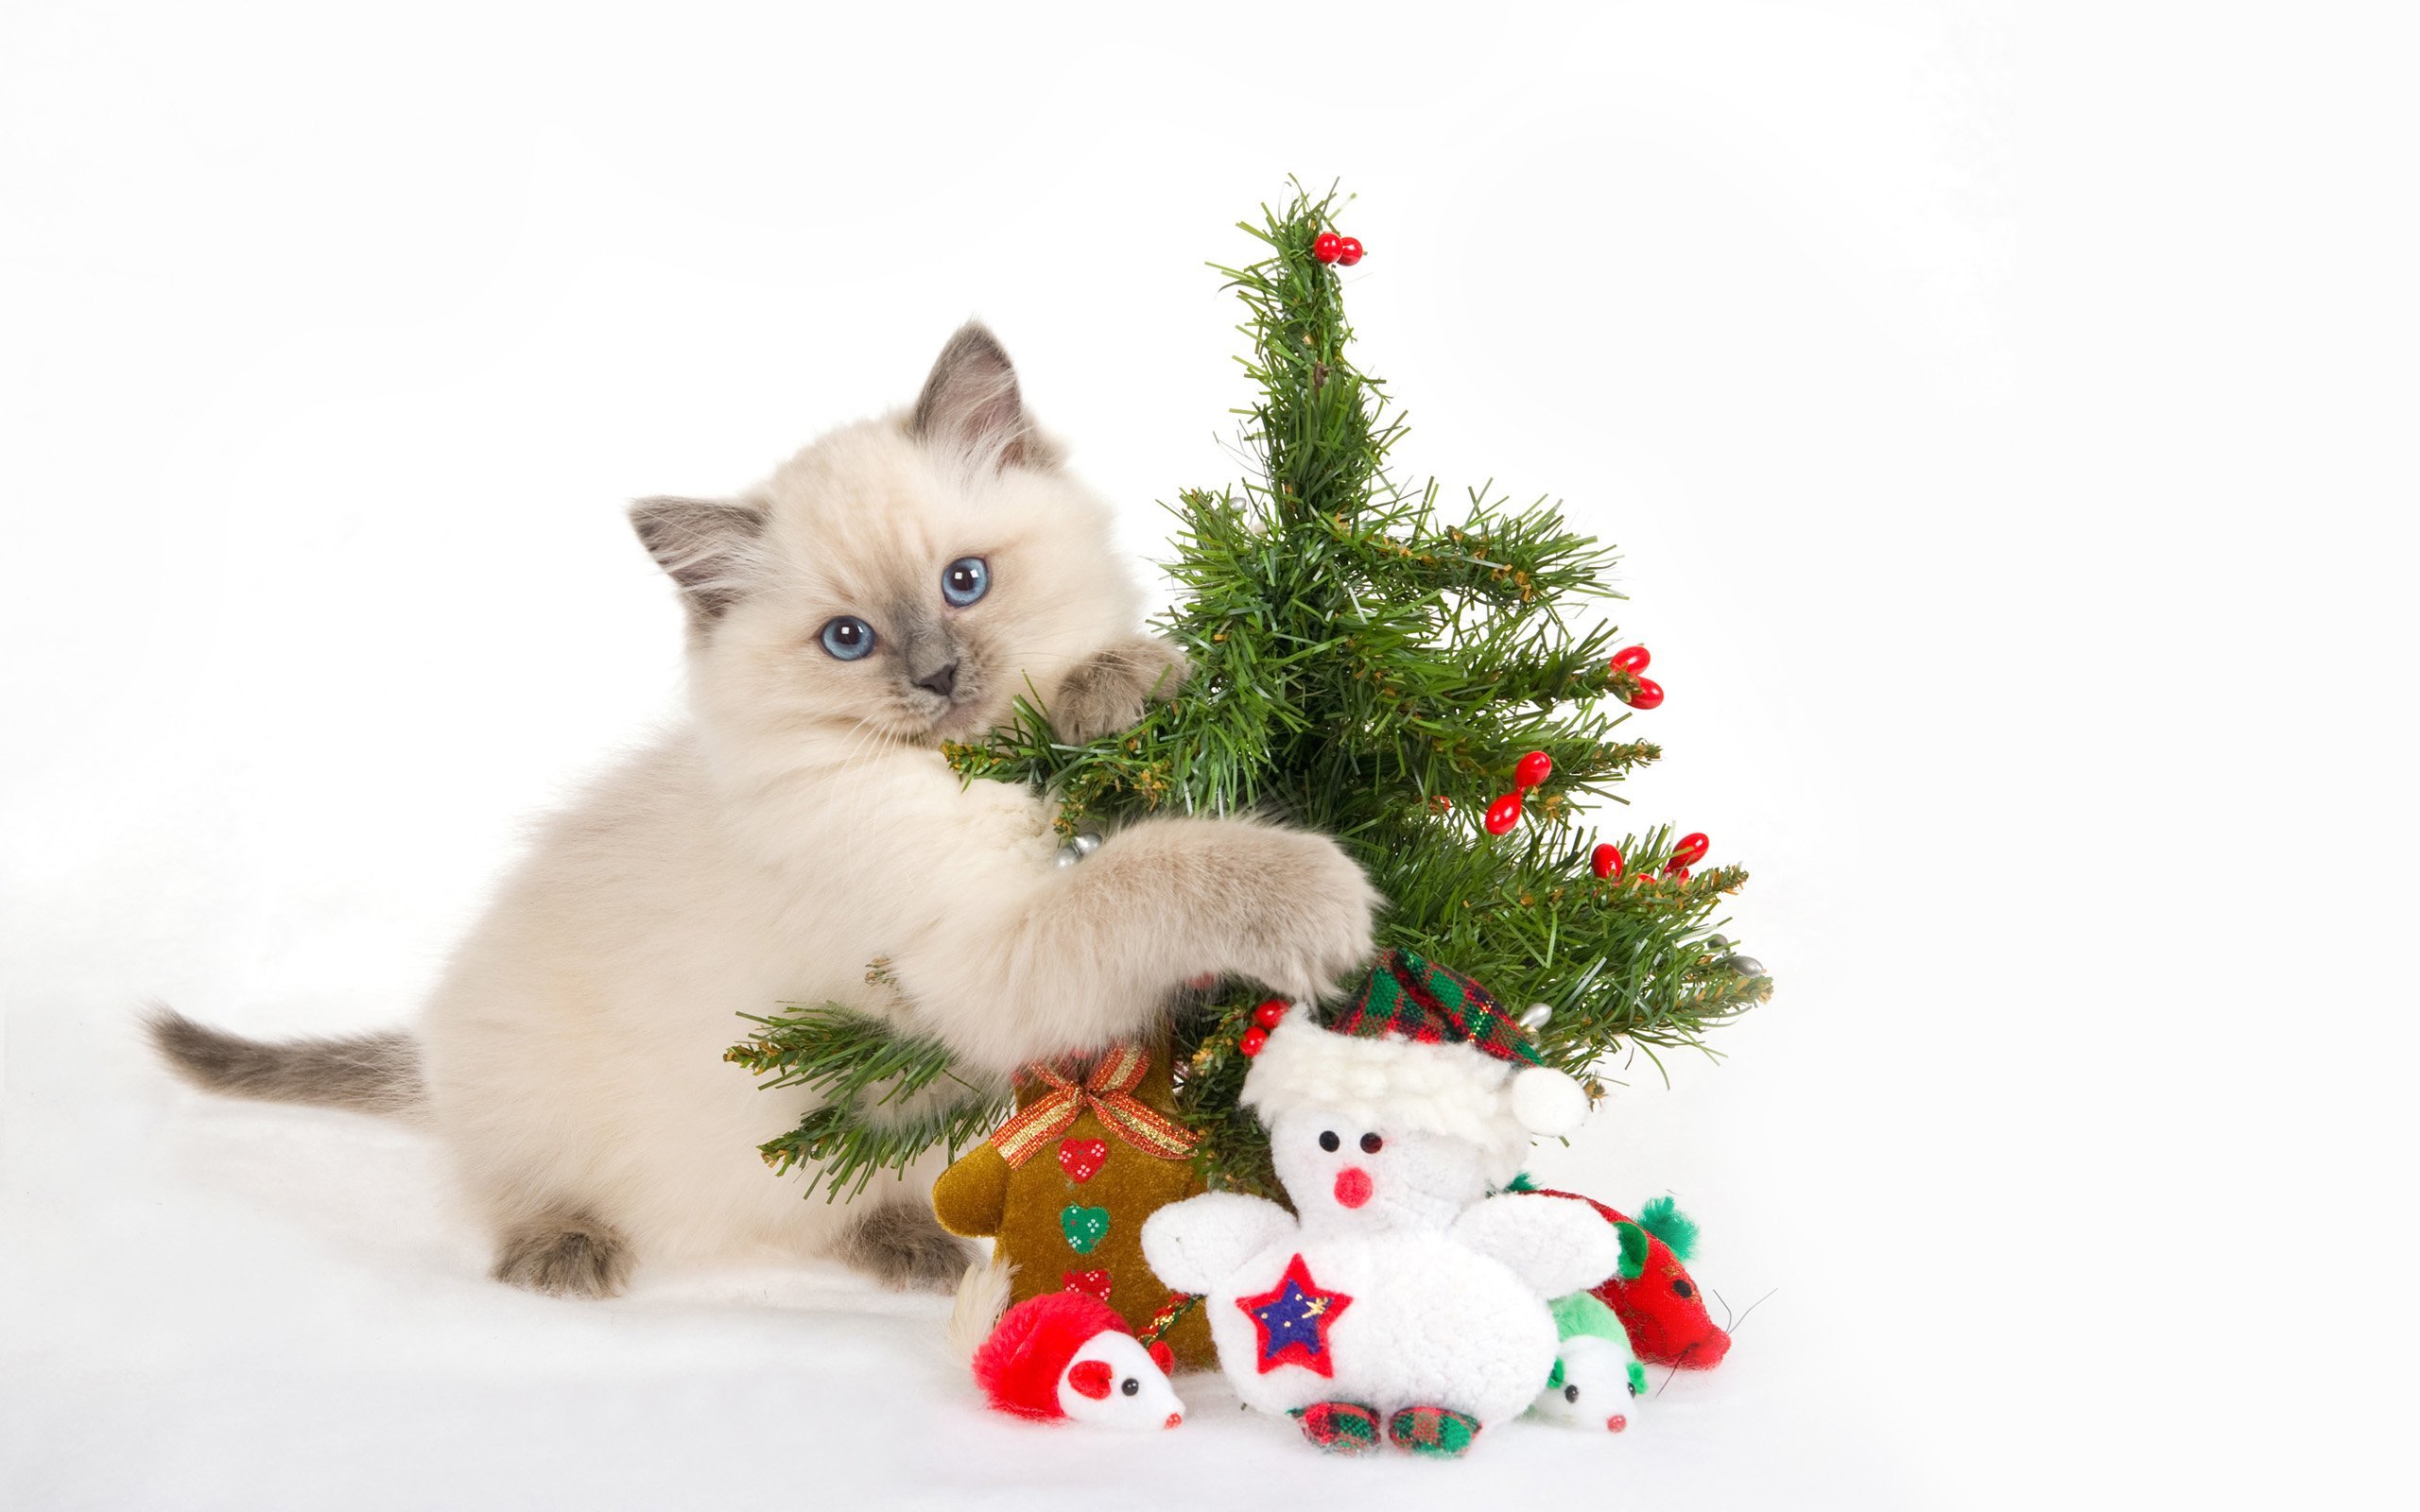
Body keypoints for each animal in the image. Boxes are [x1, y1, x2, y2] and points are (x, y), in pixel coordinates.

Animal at [151, 326, 1384, 1297]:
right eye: (849, 639)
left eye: (965, 583)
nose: (939, 678)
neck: (973, 769)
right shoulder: (981, 956)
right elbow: (1153, 870)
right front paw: (1320, 892)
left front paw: (1129, 679)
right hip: (528, 1087)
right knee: (511, 1180)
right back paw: (567, 1249)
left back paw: (909, 1245)